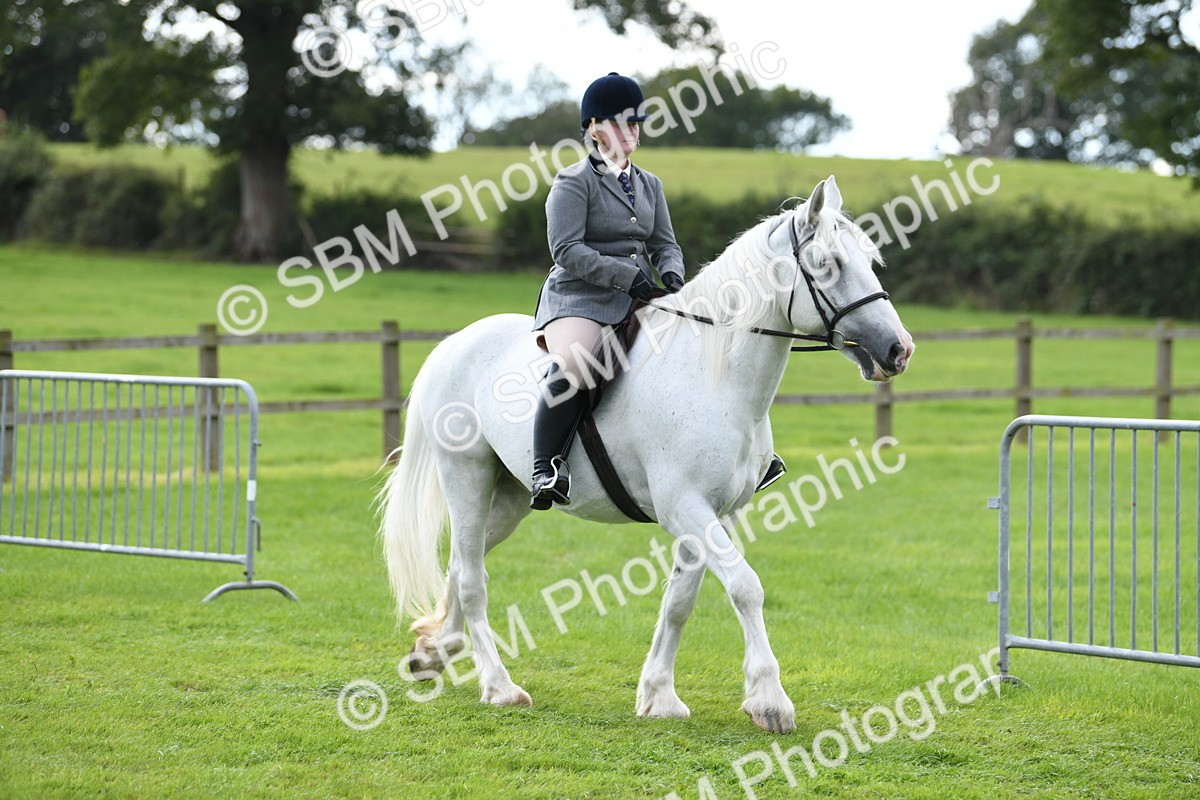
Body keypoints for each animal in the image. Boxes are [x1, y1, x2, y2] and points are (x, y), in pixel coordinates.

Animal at [377, 175, 914, 732]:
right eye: (828, 263)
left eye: (869, 259)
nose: (898, 349)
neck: (713, 377)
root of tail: (455, 343)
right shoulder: (686, 507)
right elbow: (745, 586)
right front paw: (770, 700)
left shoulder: (717, 512)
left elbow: (681, 599)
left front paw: (659, 696)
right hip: (466, 476)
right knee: (471, 578)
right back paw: (500, 687)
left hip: (508, 497)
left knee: (464, 562)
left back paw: (434, 651)